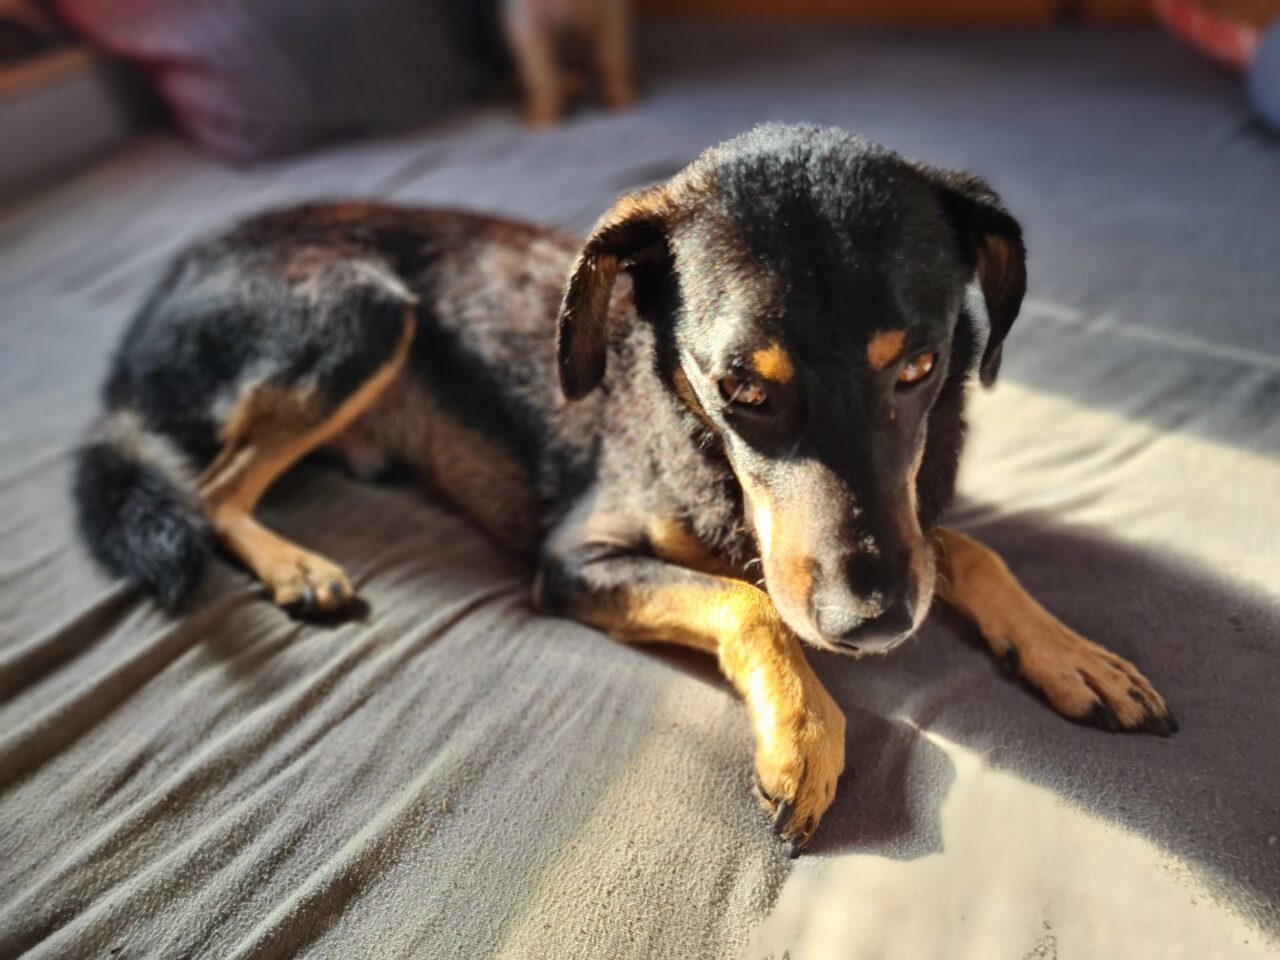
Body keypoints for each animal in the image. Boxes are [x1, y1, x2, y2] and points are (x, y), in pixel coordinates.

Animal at [74, 124, 1175, 852]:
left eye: (920, 369)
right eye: (742, 390)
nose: (870, 628)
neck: (699, 441)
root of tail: (154, 305)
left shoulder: (898, 524)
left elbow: (959, 546)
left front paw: (1070, 653)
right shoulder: (573, 559)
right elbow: (747, 603)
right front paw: (803, 734)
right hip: (357, 311)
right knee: (213, 487)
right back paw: (296, 565)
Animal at [501, 0, 634, 125]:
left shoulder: (609, 12)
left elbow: (611, 59)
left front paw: (621, 98)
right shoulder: (527, 23)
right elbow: (542, 76)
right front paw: (543, 115)